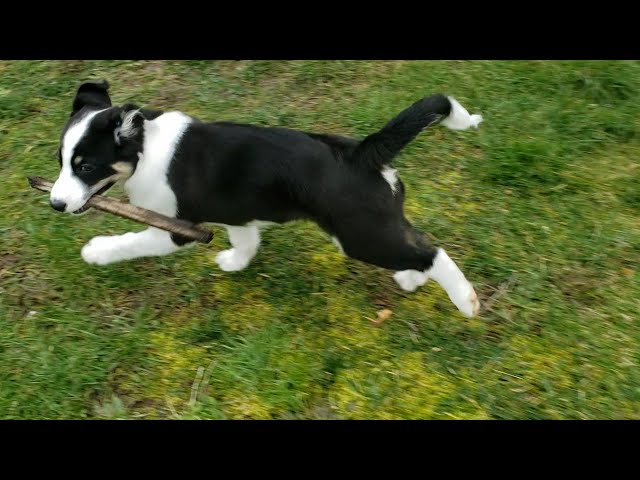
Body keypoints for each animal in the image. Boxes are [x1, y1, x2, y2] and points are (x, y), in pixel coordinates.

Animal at [50, 80, 482, 316]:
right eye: (61, 161)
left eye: (85, 166)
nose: (55, 204)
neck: (143, 147)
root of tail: (362, 153)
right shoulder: (238, 211)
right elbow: (246, 241)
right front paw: (234, 262)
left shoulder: (173, 229)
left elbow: (129, 243)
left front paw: (95, 251)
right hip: (379, 221)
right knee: (419, 245)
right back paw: (412, 279)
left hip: (358, 235)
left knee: (433, 253)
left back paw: (466, 301)